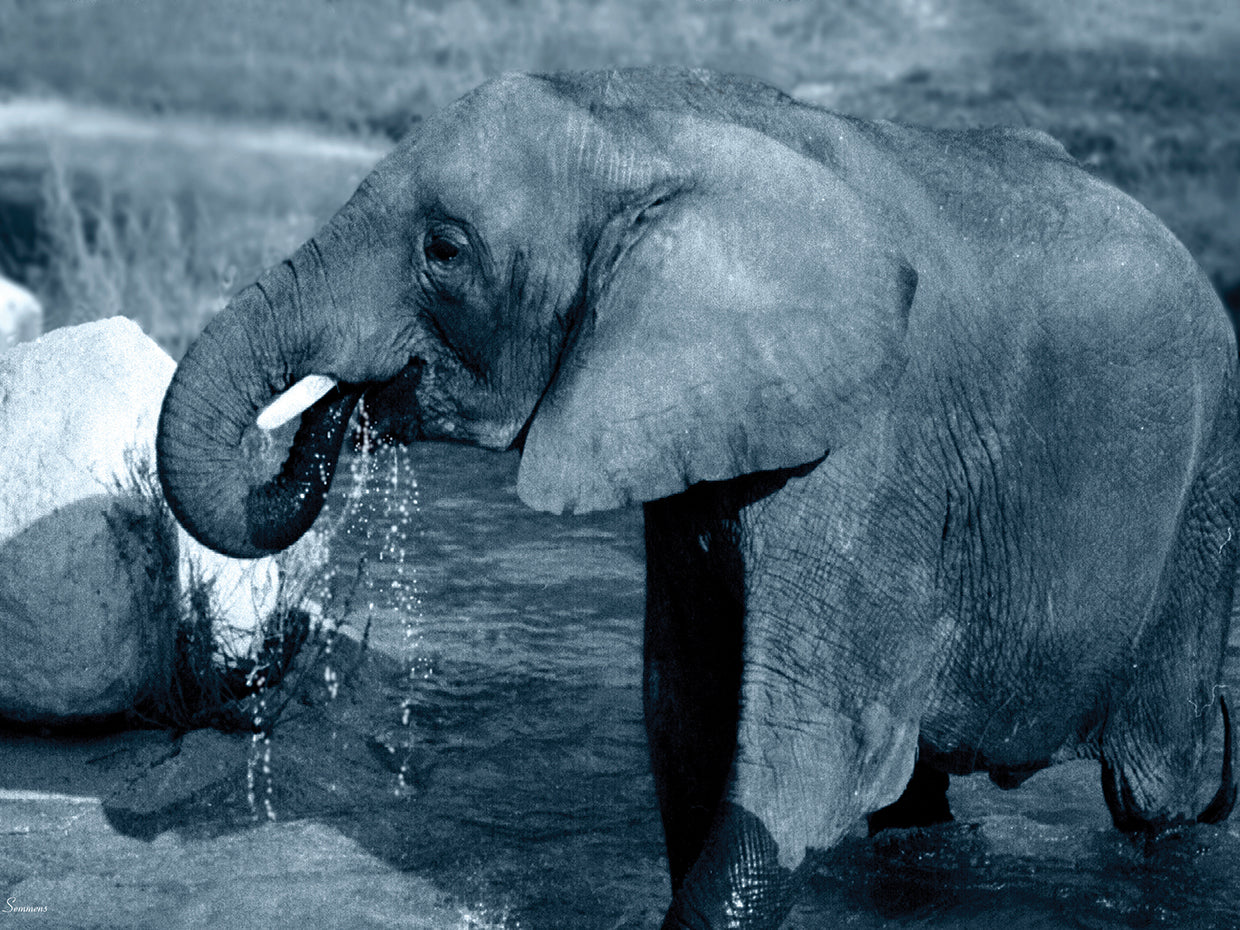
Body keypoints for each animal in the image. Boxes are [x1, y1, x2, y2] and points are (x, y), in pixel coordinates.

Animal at [156, 67, 1239, 929]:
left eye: (445, 251)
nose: (344, 407)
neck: (649, 128)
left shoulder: (868, 448)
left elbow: (806, 763)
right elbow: (686, 714)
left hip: (1207, 487)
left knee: (1159, 777)